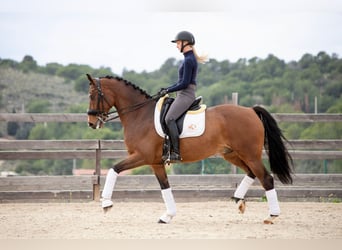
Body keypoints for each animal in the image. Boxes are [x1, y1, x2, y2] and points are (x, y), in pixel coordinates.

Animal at [86, 74, 294, 225]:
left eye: (92, 95)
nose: (91, 123)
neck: (140, 115)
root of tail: (251, 110)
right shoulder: (156, 163)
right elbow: (165, 187)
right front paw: (168, 216)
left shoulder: (142, 156)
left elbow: (113, 169)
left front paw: (106, 203)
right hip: (232, 154)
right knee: (252, 173)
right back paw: (239, 200)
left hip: (249, 154)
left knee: (265, 178)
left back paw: (271, 216)